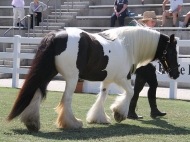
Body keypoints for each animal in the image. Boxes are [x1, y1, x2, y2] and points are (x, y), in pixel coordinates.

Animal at [7, 26, 180, 132]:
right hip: (72, 78)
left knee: (37, 92)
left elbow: (102, 96)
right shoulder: (122, 78)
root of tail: (55, 35)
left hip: (48, 72)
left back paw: (32, 122)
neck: (126, 46)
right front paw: (119, 114)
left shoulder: (108, 80)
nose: (176, 74)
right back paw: (72, 123)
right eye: (172, 51)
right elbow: (130, 93)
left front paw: (99, 117)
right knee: (66, 99)